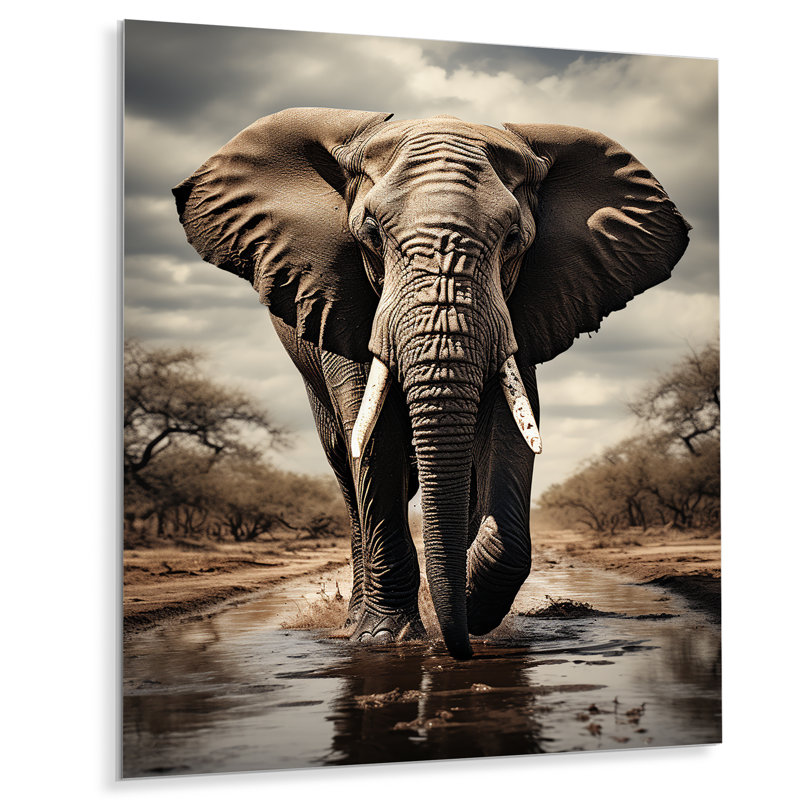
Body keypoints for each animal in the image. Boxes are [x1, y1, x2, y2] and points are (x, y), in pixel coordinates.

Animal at [173, 107, 689, 659]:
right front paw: (386, 639)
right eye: (370, 234)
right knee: (347, 467)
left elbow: (510, 426)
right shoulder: (338, 296)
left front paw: (470, 604)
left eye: (514, 239)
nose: (458, 646)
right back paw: (357, 621)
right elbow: (375, 439)